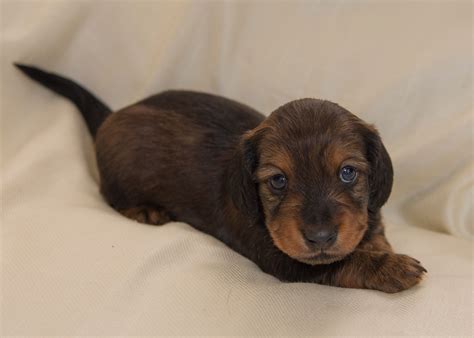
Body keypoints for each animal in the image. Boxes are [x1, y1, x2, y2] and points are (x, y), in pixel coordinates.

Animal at [16, 64, 428, 294]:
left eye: (347, 172)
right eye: (278, 181)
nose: (321, 237)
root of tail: (112, 116)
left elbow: (368, 233)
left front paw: (378, 245)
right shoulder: (283, 259)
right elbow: (342, 262)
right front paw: (391, 267)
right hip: (117, 180)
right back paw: (146, 210)